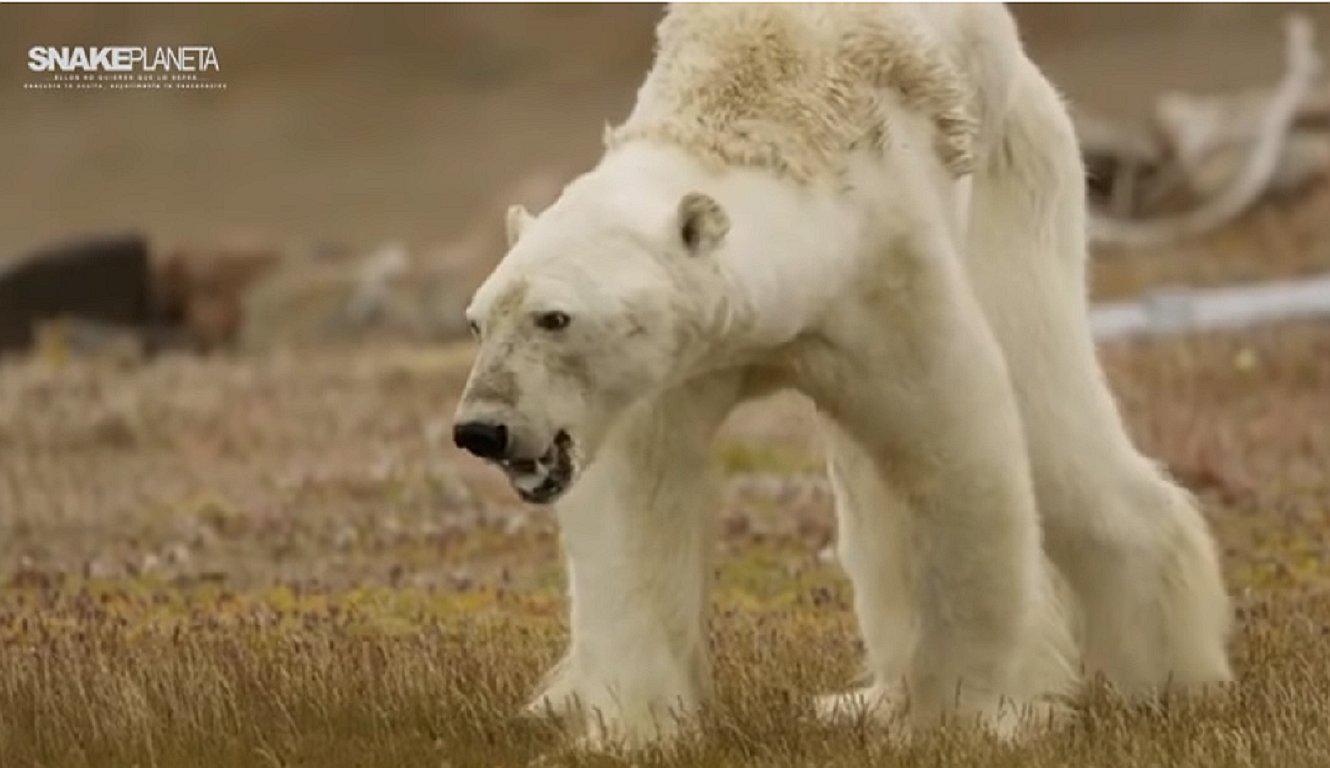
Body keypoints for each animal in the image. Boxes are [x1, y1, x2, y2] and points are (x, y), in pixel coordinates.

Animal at [452, 3, 1232, 745]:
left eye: (554, 318)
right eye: (477, 321)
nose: (482, 429)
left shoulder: (886, 277)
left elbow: (959, 462)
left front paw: (958, 718)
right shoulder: (675, 363)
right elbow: (638, 502)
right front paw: (630, 728)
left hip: (1018, 186)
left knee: (1052, 423)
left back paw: (1171, 678)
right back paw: (862, 701)